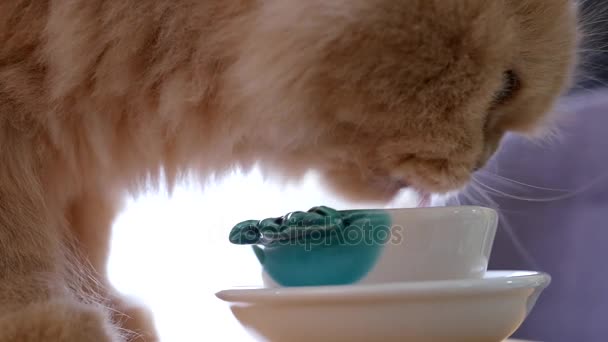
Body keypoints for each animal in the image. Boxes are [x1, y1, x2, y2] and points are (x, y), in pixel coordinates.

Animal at [0, 0, 580, 340]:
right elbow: (22, 243)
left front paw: (115, 312)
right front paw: (51, 319)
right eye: (505, 87)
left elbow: (83, 237)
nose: (484, 158)